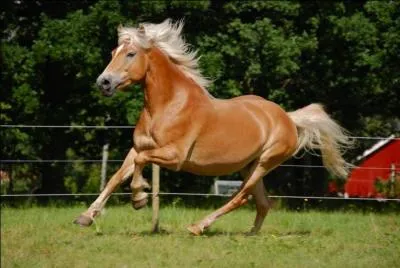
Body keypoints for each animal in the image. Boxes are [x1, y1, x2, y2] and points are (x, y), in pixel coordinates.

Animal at [73, 18, 352, 234]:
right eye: (113, 53)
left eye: (131, 54)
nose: (103, 82)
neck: (167, 106)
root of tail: (288, 118)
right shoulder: (138, 148)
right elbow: (116, 177)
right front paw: (86, 217)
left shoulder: (174, 156)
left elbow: (140, 164)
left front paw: (139, 197)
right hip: (249, 165)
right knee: (263, 203)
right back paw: (251, 234)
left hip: (264, 163)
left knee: (241, 197)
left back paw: (199, 226)